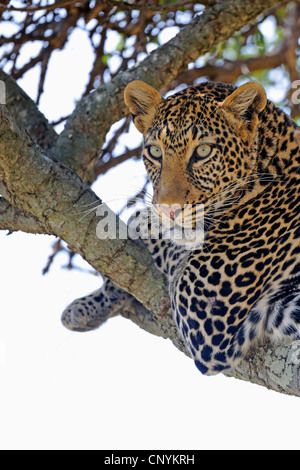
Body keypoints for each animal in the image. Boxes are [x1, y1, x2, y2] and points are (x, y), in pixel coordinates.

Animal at [61, 80, 300, 374]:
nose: (168, 211)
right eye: (155, 152)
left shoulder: (204, 312)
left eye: (203, 151)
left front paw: (142, 222)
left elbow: (158, 235)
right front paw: (85, 308)